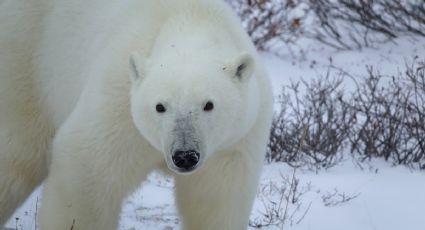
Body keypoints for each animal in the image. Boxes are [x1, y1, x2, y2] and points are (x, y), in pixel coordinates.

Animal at [0, 0, 272, 229]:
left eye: (208, 105)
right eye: (160, 106)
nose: (184, 156)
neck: (191, 18)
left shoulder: (234, 140)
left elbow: (216, 200)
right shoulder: (119, 102)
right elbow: (87, 171)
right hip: (26, 59)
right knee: (19, 154)